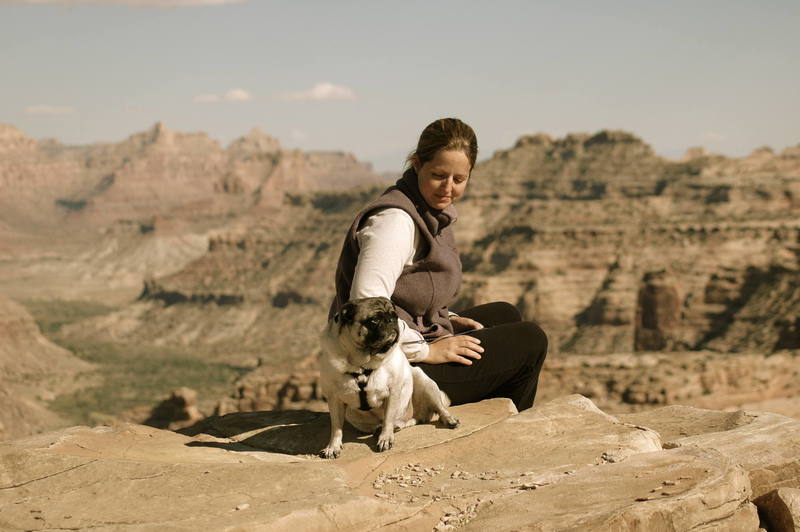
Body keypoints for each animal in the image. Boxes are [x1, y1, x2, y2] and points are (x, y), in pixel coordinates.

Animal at [318, 298, 456, 460]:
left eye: (394, 315)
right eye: (374, 320)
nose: (391, 320)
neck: (362, 364)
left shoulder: (393, 391)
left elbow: (388, 417)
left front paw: (385, 438)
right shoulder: (334, 399)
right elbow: (336, 428)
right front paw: (333, 447)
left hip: (425, 383)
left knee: (439, 408)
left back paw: (448, 419)